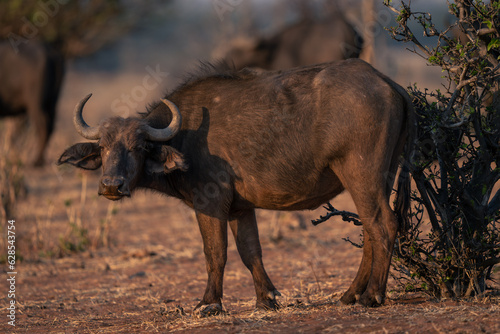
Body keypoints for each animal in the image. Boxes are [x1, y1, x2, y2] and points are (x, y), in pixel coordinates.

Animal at [57, 60, 414, 314]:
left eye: (139, 147)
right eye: (104, 147)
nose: (111, 185)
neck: (184, 135)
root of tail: (388, 84)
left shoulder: (210, 204)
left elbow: (215, 253)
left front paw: (209, 303)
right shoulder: (240, 210)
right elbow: (250, 251)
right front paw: (266, 298)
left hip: (361, 174)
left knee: (382, 225)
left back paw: (372, 296)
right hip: (382, 176)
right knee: (369, 230)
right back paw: (350, 294)